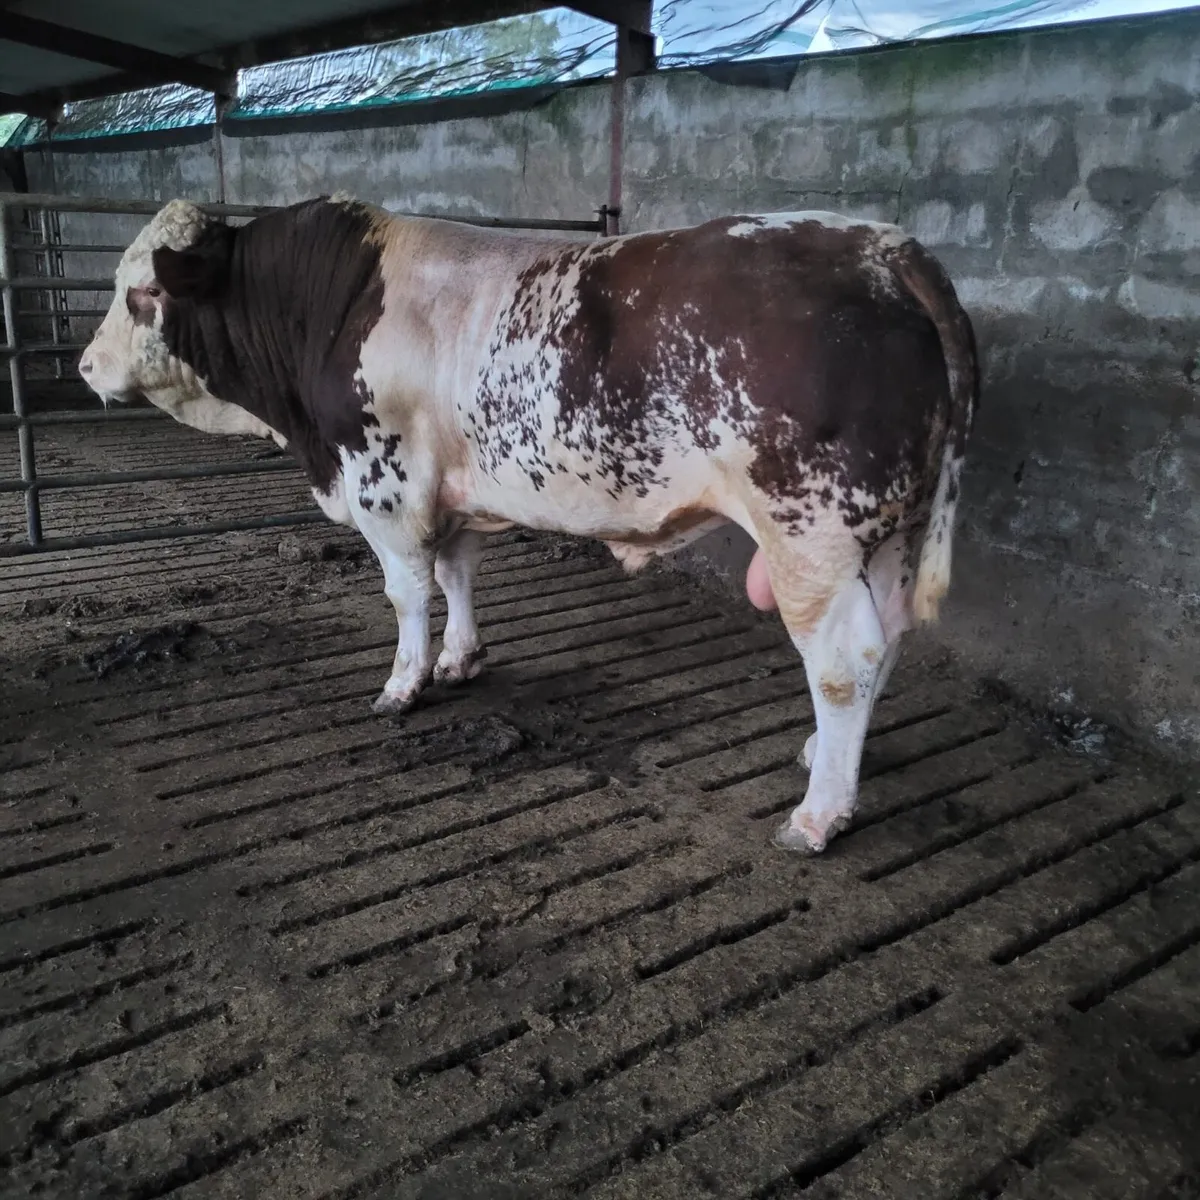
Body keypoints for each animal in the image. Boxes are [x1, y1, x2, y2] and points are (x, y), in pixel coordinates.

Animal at [79, 196, 978, 854]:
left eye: (142, 294)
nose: (86, 365)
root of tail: (884, 246)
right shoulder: (451, 493)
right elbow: (456, 576)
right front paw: (459, 661)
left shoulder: (383, 488)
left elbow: (407, 594)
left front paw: (402, 685)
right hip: (886, 532)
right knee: (888, 638)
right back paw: (828, 758)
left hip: (810, 532)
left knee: (844, 660)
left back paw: (819, 814)